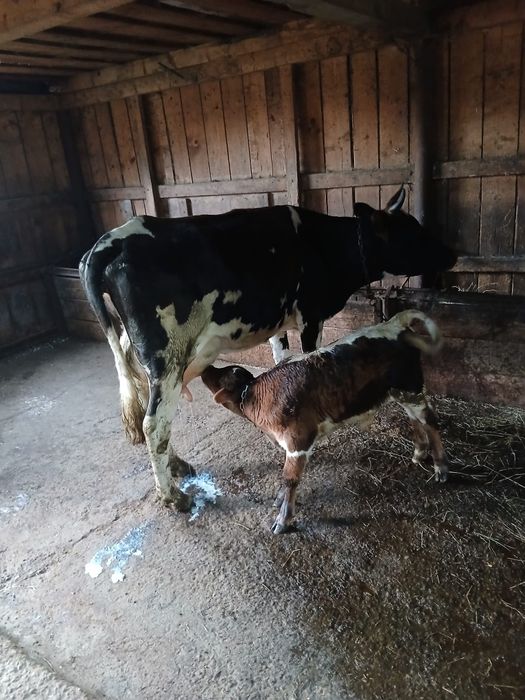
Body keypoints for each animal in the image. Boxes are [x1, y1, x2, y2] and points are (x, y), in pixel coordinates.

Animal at [201, 310, 448, 534]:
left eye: (221, 376)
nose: (206, 367)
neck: (256, 396)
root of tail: (393, 323)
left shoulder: (298, 441)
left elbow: (289, 479)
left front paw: (283, 520)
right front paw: (279, 501)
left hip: (410, 388)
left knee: (430, 421)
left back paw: (441, 469)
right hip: (399, 391)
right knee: (414, 419)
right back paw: (418, 453)